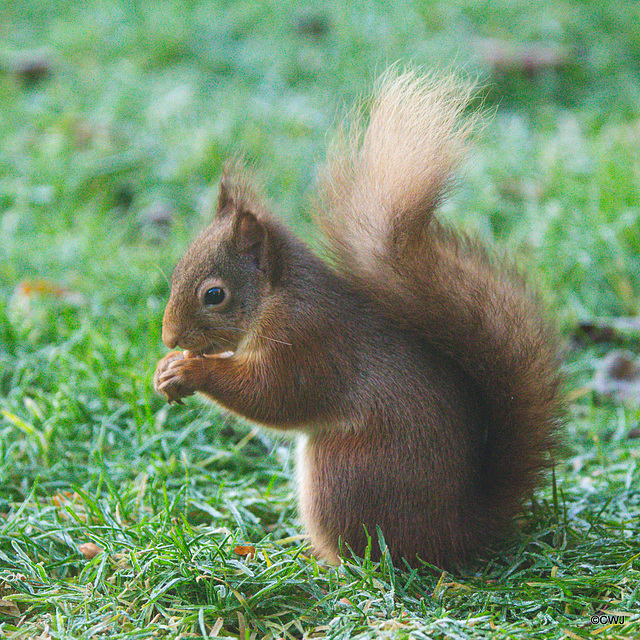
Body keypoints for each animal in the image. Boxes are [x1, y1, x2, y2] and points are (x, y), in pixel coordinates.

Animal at [154, 71, 560, 568]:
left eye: (215, 295)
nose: (169, 337)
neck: (279, 297)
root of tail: (461, 534)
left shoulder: (307, 342)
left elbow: (272, 395)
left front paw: (191, 370)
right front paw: (165, 371)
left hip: (342, 474)